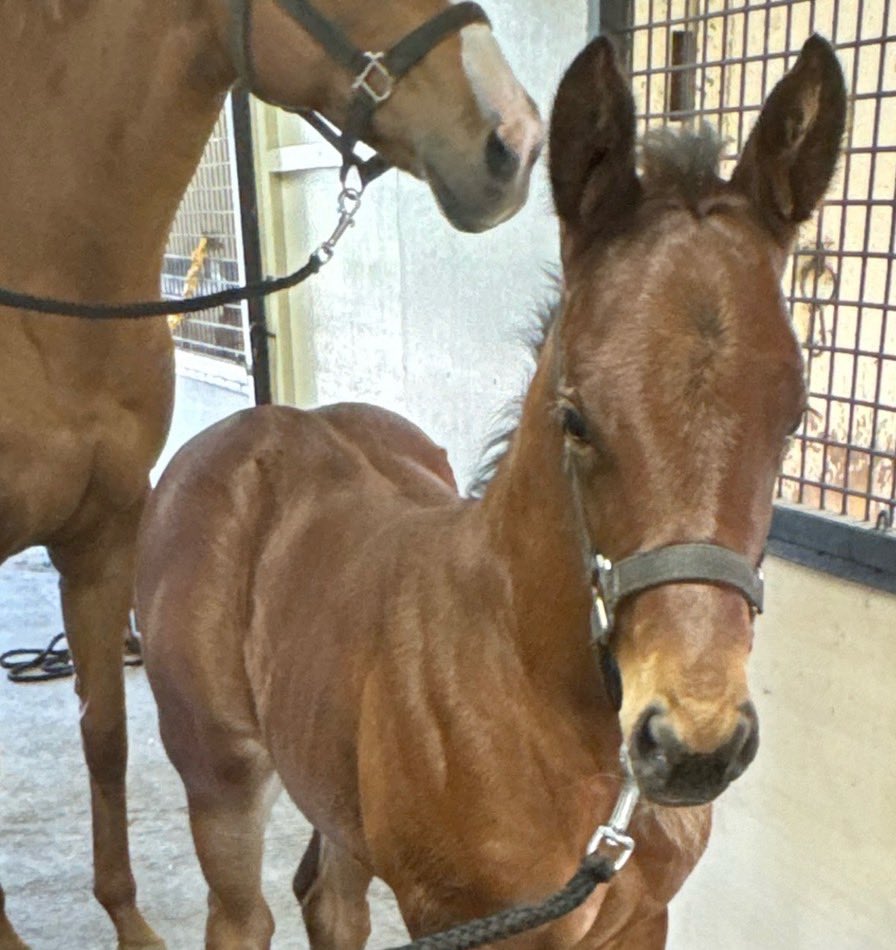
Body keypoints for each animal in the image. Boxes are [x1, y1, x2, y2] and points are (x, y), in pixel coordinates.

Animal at [136, 33, 844, 950]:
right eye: (575, 417)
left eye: (793, 418)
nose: (693, 743)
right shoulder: (470, 924)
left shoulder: (643, 918)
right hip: (220, 774)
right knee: (242, 916)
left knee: (329, 900)